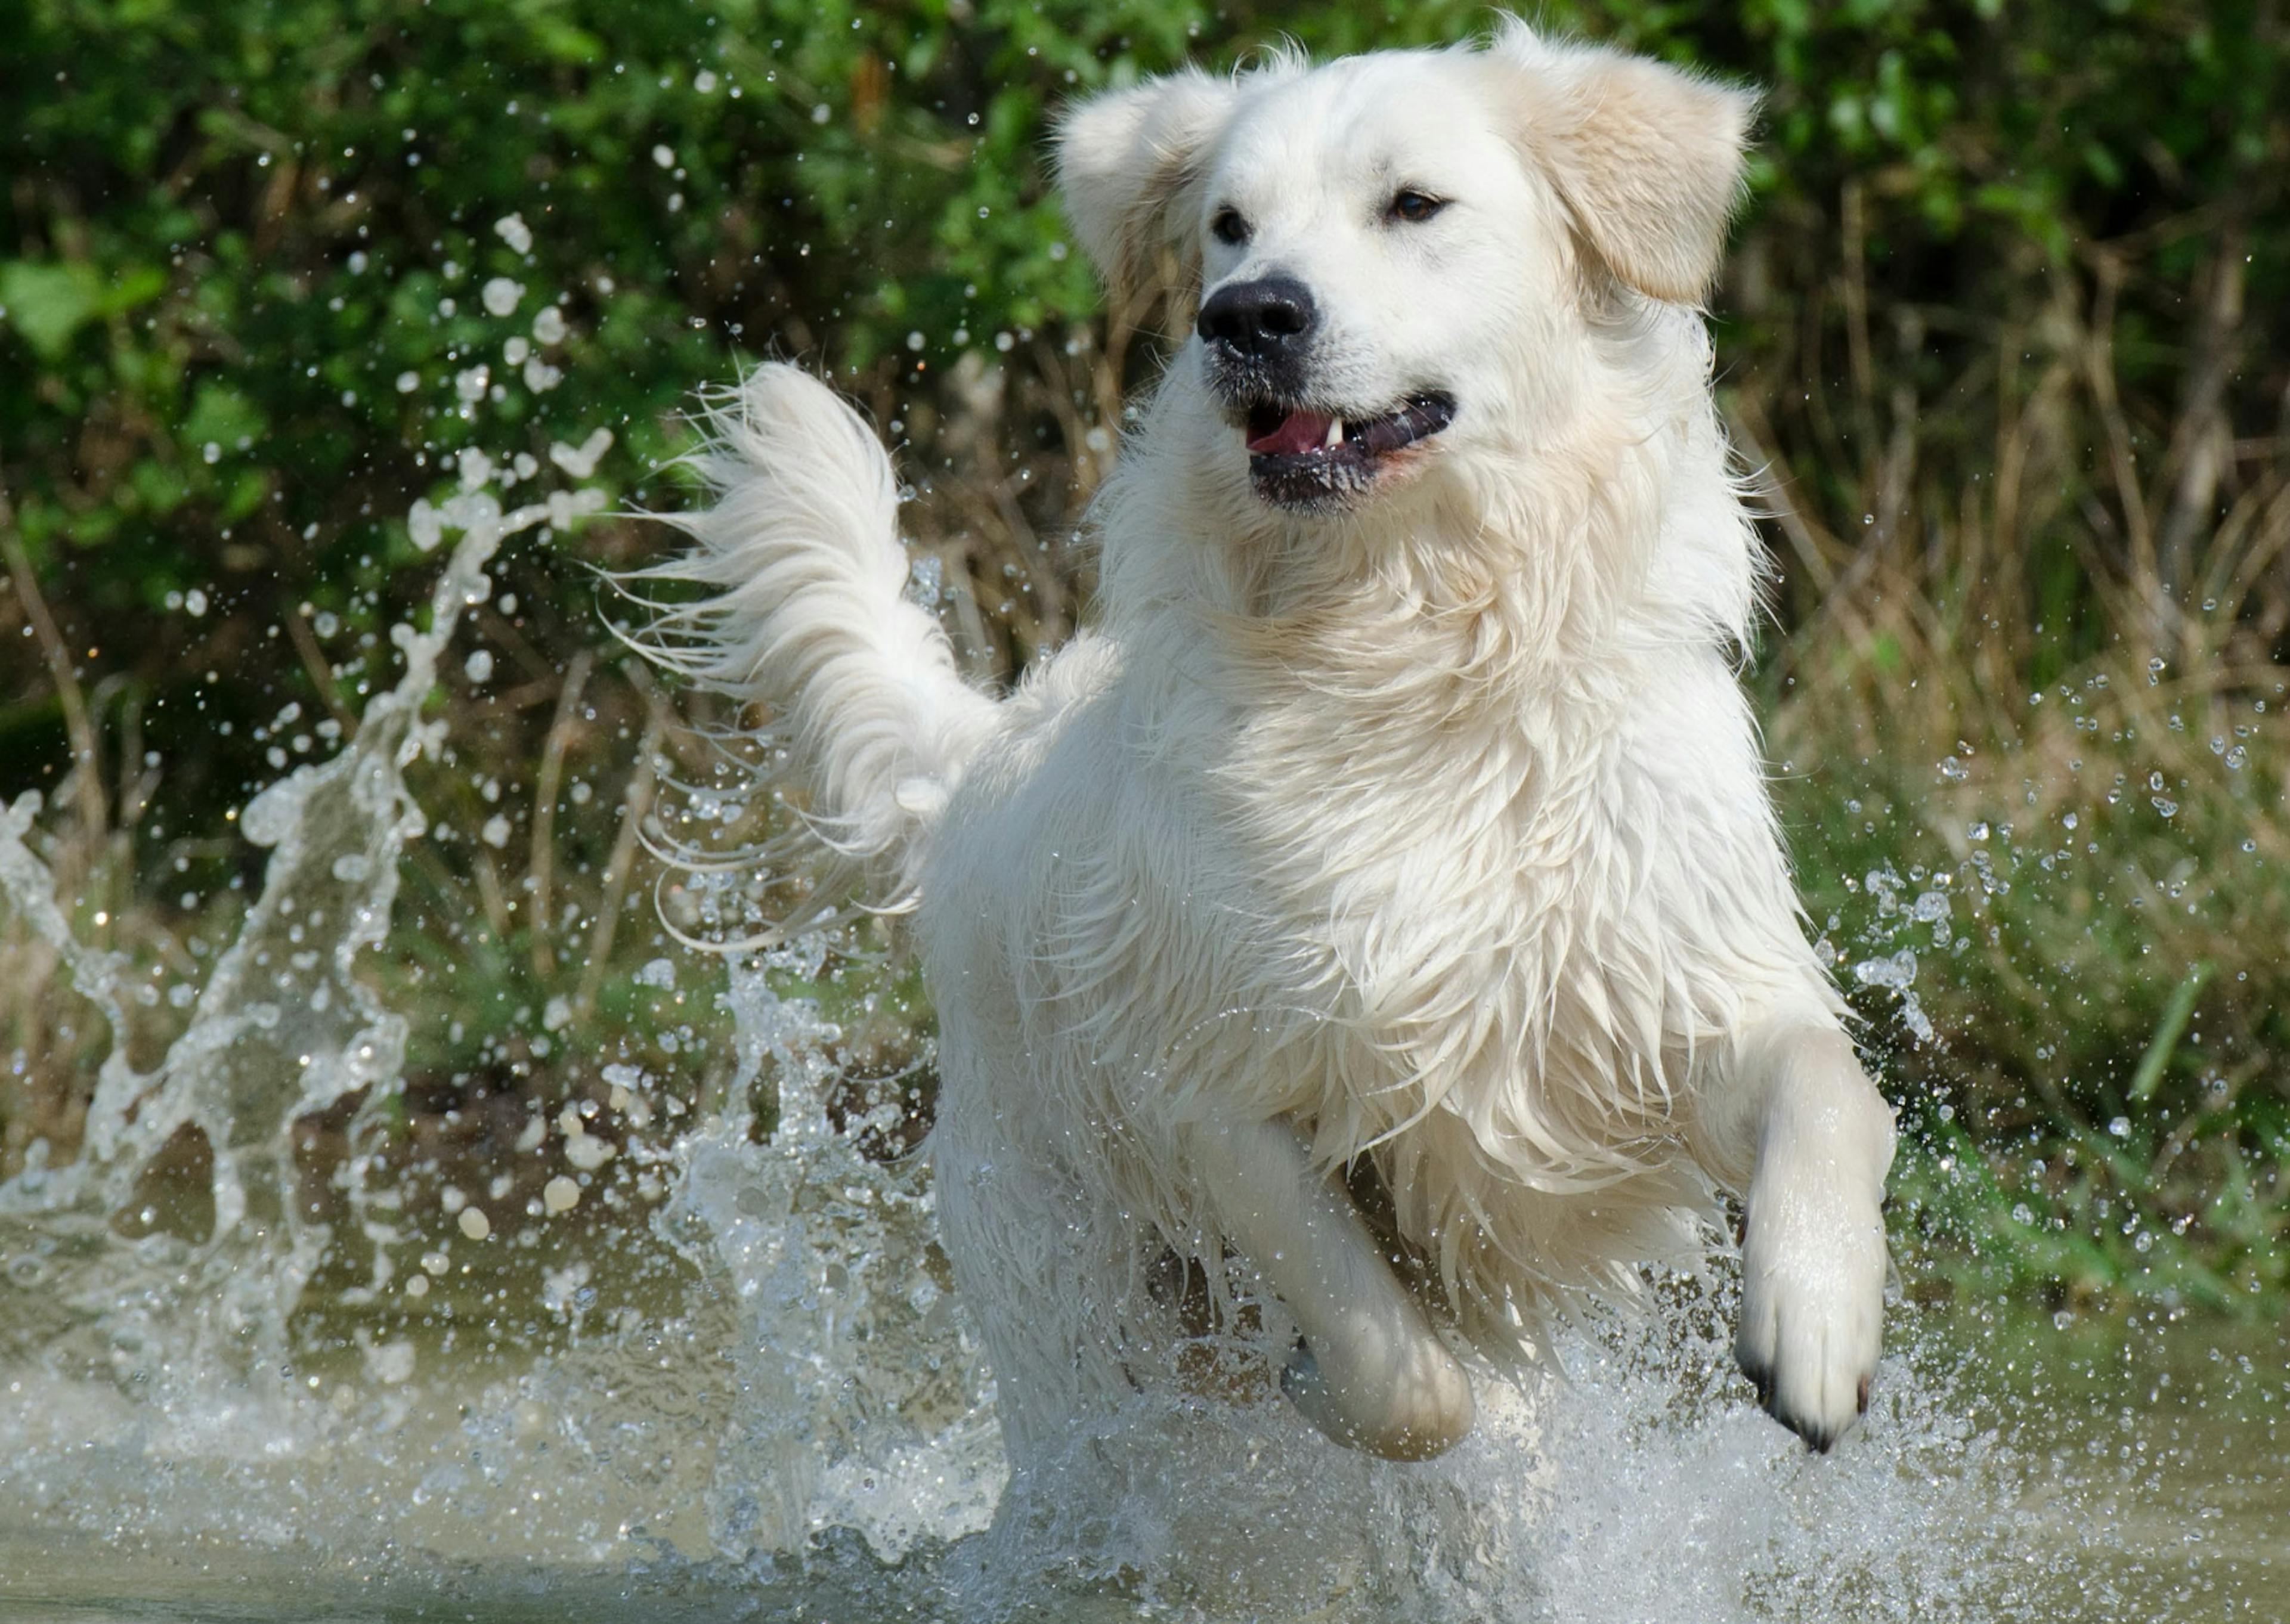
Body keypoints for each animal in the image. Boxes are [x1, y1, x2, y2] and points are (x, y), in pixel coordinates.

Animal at [641, 18, 1896, 1475]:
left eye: (1414, 204)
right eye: (1228, 228)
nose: (1246, 316)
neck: (1415, 651)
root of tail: (977, 765)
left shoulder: (1675, 986)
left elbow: (1831, 1086)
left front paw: (1814, 1325)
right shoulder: (1206, 1085)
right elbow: (1401, 1376)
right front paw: (1351, 1383)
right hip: (1068, 1304)